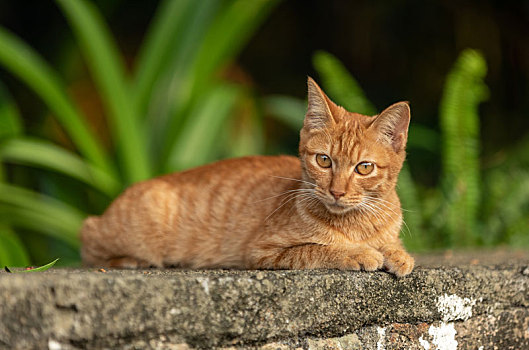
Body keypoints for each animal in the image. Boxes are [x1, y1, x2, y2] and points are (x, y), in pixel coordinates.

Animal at [80, 76, 414, 276]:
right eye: (324, 161)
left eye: (364, 167)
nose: (337, 192)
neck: (357, 224)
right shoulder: (263, 251)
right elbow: (316, 250)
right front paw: (359, 254)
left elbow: (392, 243)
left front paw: (398, 254)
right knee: (87, 234)